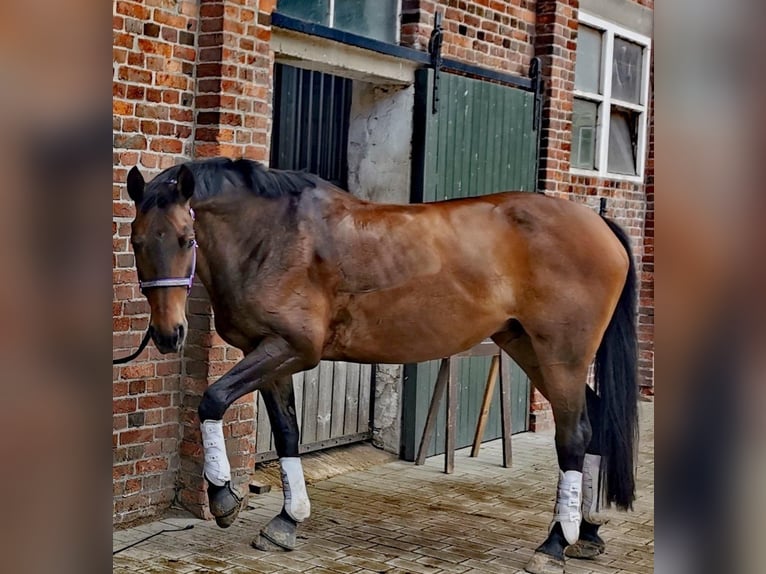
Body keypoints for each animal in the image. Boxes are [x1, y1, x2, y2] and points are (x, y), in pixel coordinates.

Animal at [126, 160, 640, 574]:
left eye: (186, 239)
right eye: (136, 241)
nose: (168, 334)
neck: (273, 236)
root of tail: (598, 222)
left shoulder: (289, 348)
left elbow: (212, 399)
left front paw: (223, 499)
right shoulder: (271, 355)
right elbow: (288, 432)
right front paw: (286, 521)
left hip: (562, 355)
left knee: (574, 435)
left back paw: (553, 544)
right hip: (528, 347)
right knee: (595, 423)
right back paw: (587, 533)